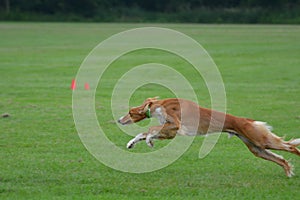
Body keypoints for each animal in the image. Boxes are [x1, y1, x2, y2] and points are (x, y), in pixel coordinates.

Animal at [118, 97, 300, 177]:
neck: (158, 105)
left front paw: (149, 141)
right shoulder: (171, 130)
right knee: (281, 159)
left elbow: (151, 129)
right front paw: (132, 143)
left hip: (260, 140)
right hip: (256, 147)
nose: (119, 120)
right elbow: (145, 133)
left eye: (130, 113)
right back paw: (288, 171)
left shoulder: (176, 125)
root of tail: (247, 120)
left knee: (291, 147)